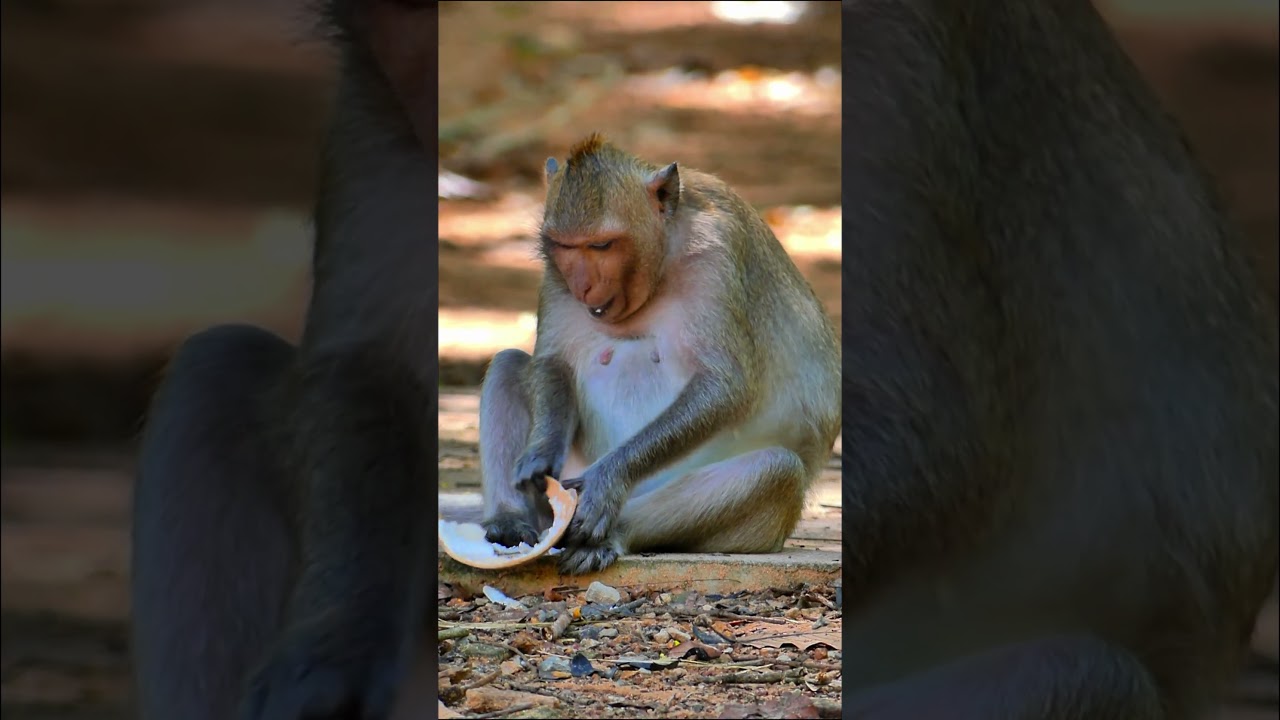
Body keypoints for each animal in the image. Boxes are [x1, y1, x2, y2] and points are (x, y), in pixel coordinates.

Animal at [476, 133, 842, 576]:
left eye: (601, 245)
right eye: (564, 246)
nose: (581, 286)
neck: (665, 254)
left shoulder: (715, 253)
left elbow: (725, 384)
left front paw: (609, 480)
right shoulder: (554, 270)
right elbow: (552, 361)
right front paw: (539, 456)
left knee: (774, 470)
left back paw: (608, 534)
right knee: (509, 364)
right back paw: (511, 521)